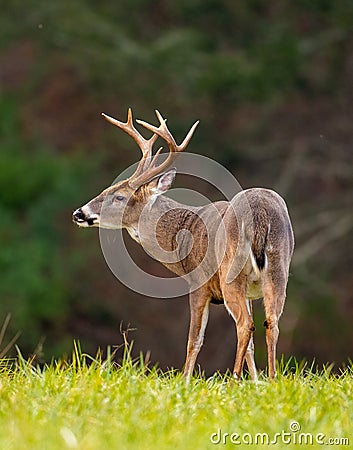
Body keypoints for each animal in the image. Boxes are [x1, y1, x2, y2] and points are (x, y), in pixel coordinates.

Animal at [73, 107, 292, 382]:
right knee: (271, 322)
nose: (79, 213)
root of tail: (260, 213)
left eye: (119, 197)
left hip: (230, 273)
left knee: (245, 325)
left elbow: (193, 340)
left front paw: (185, 380)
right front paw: (254, 382)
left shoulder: (198, 283)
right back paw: (272, 379)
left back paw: (233, 379)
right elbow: (251, 348)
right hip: (278, 269)